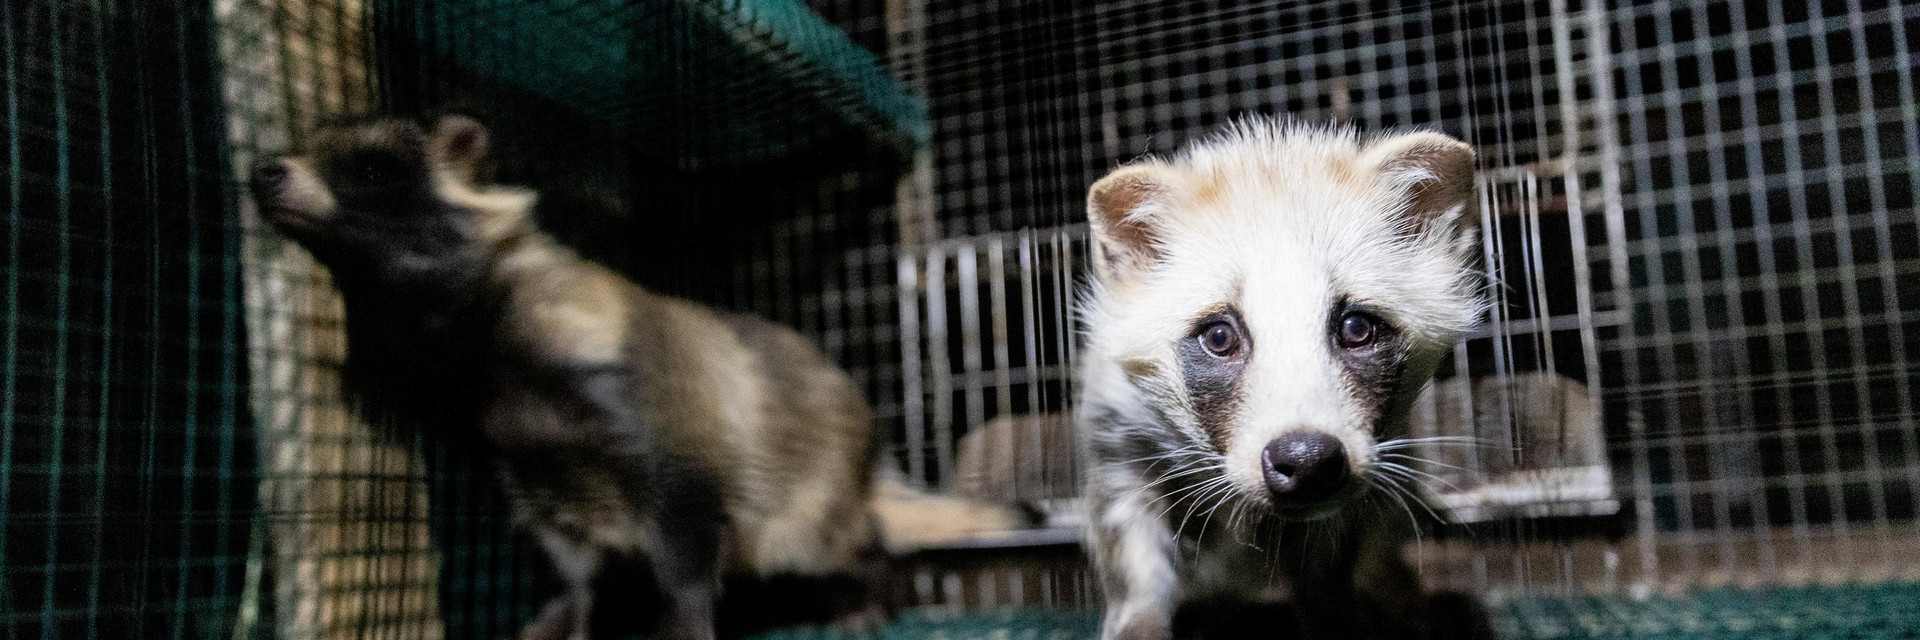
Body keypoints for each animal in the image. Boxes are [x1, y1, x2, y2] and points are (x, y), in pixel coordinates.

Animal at [249, 115, 882, 640]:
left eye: (373, 168)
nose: (263, 171)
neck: (475, 330)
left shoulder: (634, 392)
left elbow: (686, 512)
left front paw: (684, 612)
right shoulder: (518, 451)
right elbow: (564, 552)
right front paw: (571, 603)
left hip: (812, 489)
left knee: (828, 541)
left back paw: (860, 587)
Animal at [1076, 118, 1483, 639]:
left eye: (1357, 327)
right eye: (1219, 335)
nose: (1307, 459)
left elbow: (1329, 573)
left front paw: (1340, 619)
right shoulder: (1116, 436)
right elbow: (1130, 551)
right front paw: (1138, 620)